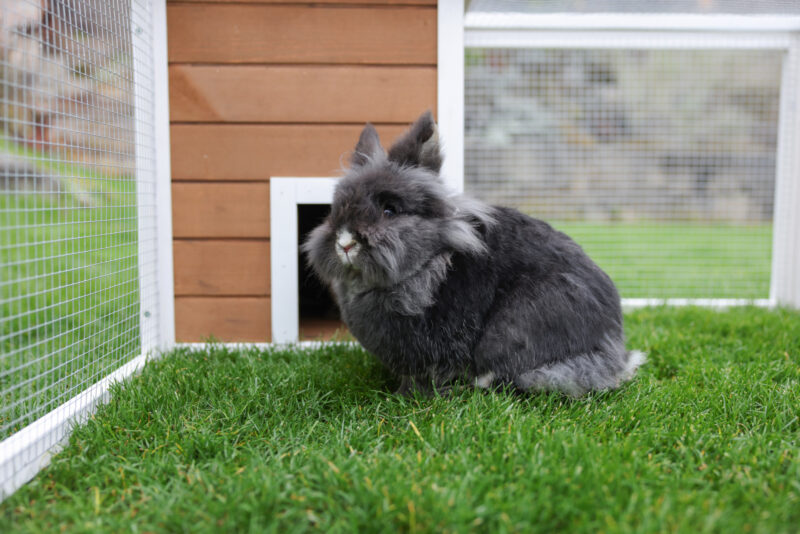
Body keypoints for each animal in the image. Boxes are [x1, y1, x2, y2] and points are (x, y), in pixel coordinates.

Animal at [300, 112, 644, 398]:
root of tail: (614, 352)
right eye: (335, 209)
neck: (428, 263)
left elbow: (423, 379)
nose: (345, 242)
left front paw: (406, 397)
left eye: (390, 210)